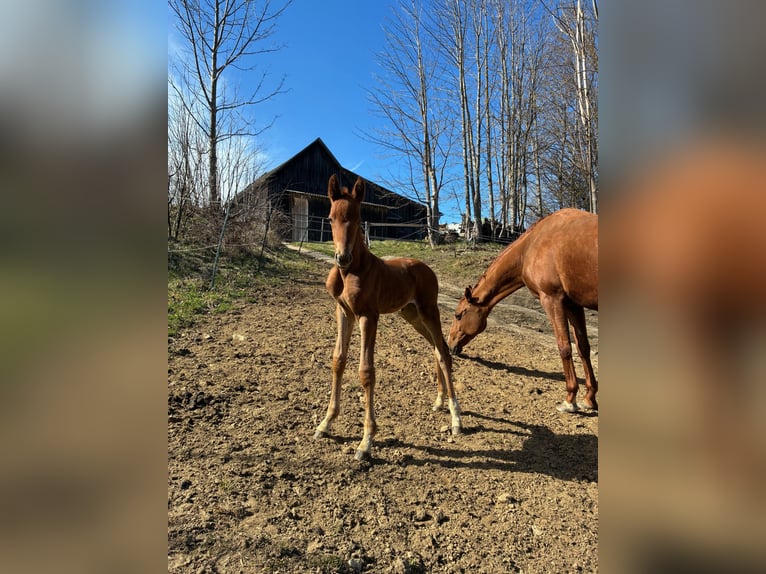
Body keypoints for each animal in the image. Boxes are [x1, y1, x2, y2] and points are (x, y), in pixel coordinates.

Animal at [313, 174, 462, 460]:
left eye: (357, 218)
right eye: (330, 218)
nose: (342, 257)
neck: (352, 271)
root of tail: (427, 268)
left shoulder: (368, 316)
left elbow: (366, 371)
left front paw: (366, 441)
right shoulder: (343, 312)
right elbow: (338, 360)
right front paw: (326, 423)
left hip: (429, 311)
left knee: (444, 353)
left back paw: (456, 418)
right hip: (411, 315)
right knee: (435, 348)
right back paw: (440, 401)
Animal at [447, 208, 598, 413]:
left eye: (459, 315)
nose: (450, 345)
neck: (530, 247)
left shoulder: (552, 300)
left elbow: (564, 347)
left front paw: (570, 399)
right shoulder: (573, 304)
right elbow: (583, 348)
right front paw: (589, 398)